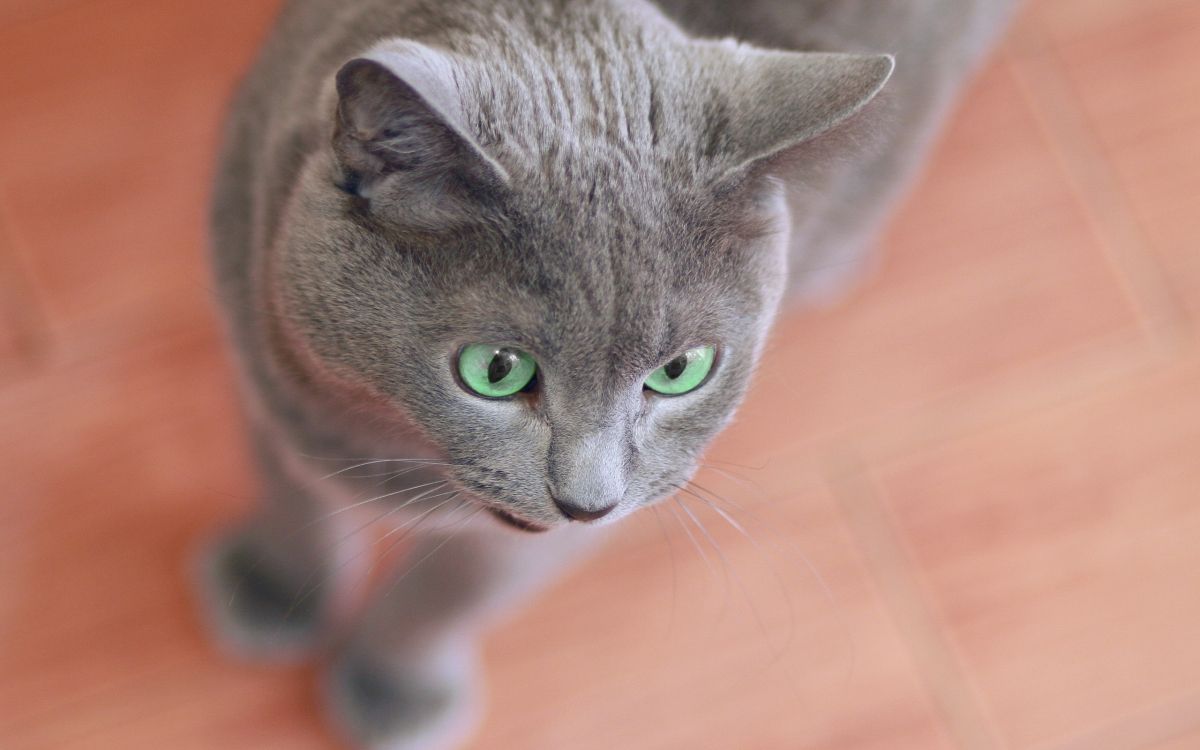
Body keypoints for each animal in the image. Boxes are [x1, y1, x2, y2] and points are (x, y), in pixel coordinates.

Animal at [194, 2, 1012, 744]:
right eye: (495, 370)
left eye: (680, 370)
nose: (588, 501)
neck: (391, 444)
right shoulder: (259, 342)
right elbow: (287, 494)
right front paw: (271, 591)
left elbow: (453, 593)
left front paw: (395, 691)